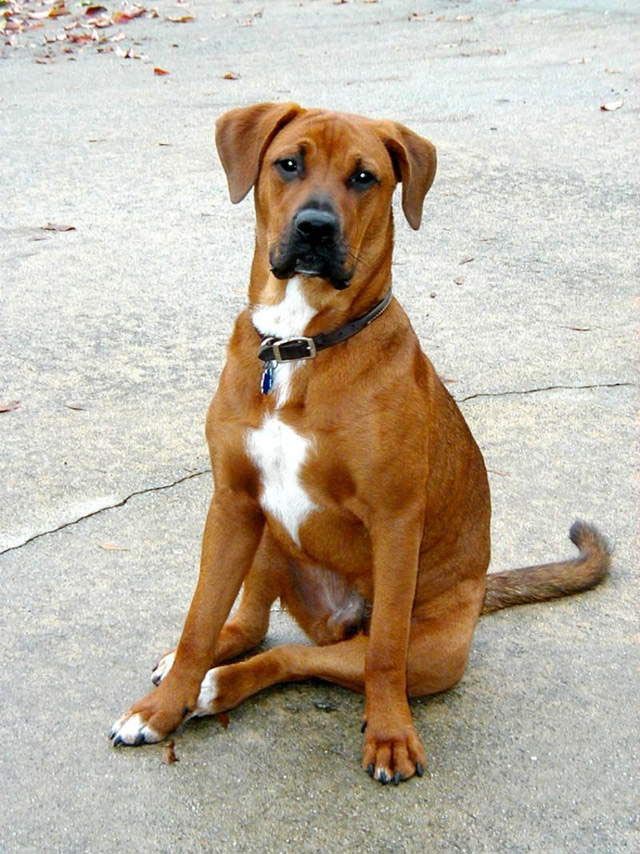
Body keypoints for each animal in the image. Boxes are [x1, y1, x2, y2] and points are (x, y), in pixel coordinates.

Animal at [110, 103, 608, 784]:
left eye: (365, 177)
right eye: (288, 163)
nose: (315, 227)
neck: (299, 345)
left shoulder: (395, 522)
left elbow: (383, 656)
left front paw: (391, 735)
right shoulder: (232, 500)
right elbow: (199, 620)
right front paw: (160, 710)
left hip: (431, 651)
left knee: (312, 657)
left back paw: (217, 688)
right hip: (263, 531)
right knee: (250, 623)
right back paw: (203, 674)